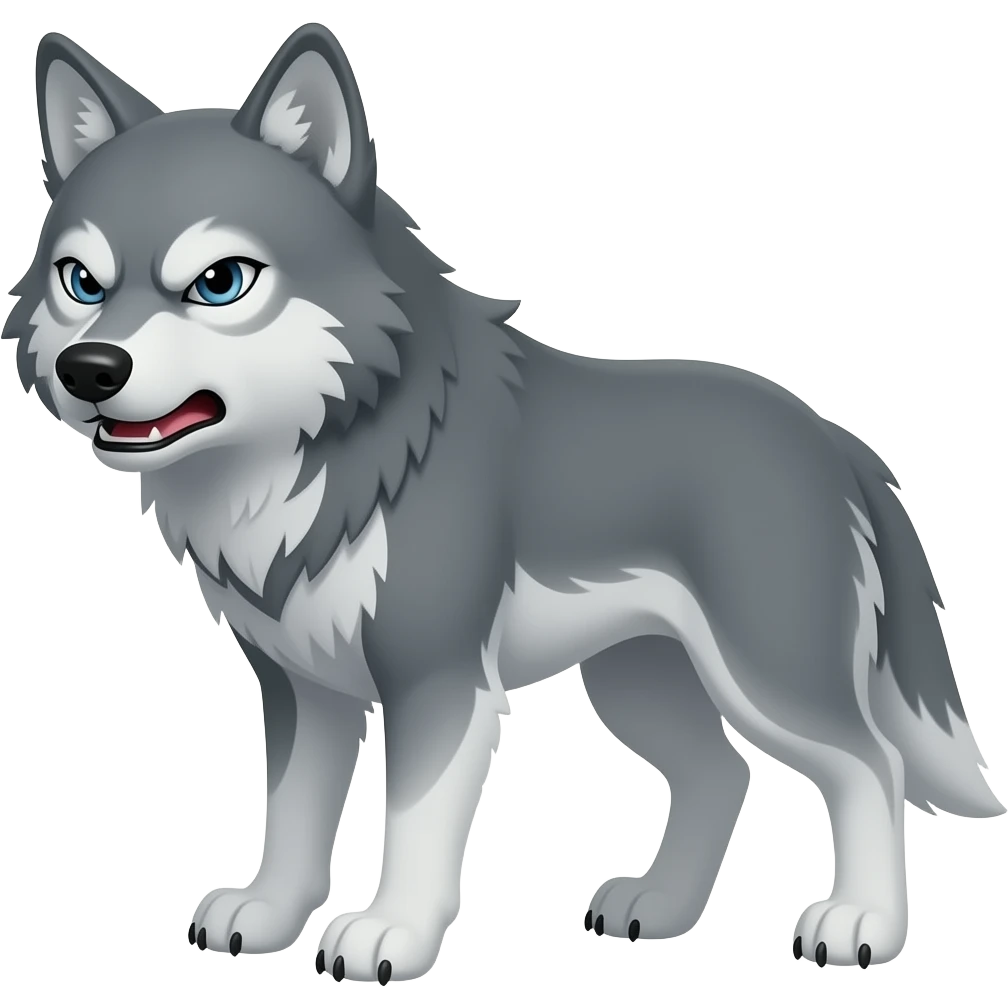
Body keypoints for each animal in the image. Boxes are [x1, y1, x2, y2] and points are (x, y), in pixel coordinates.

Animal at [5, 23, 1000, 983]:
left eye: (219, 282)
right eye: (81, 282)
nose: (89, 369)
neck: (321, 451)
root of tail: (836, 438)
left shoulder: (437, 678)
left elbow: (410, 824)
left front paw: (390, 936)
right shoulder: (301, 686)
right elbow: (291, 814)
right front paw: (270, 915)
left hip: (766, 675)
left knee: (872, 764)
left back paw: (862, 924)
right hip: (638, 681)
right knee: (722, 774)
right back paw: (661, 909)